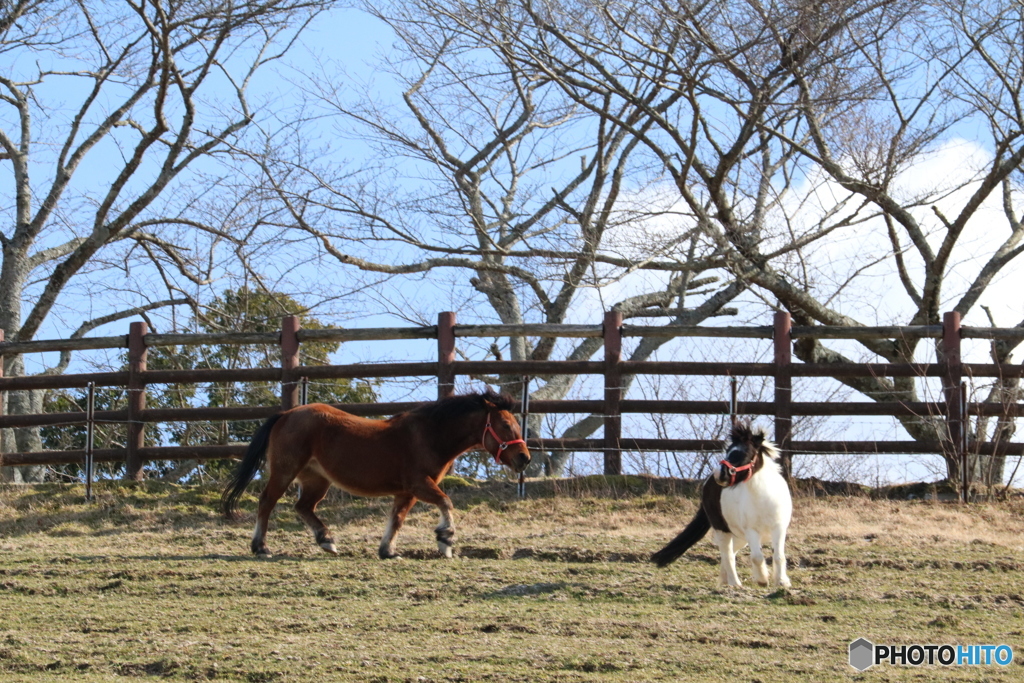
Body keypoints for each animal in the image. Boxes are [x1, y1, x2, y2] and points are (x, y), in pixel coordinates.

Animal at [221, 393, 532, 557]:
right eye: (505, 425)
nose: (524, 458)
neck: (430, 435)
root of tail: (286, 414)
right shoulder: (419, 485)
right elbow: (446, 503)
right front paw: (445, 540)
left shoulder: (406, 492)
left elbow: (397, 519)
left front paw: (388, 550)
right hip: (285, 470)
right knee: (267, 502)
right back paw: (261, 547)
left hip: (316, 479)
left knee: (303, 507)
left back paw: (327, 541)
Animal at [655, 421, 790, 589]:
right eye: (728, 451)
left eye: (744, 453)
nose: (720, 474)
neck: (764, 498)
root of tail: (708, 483)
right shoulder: (751, 531)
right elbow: (757, 557)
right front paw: (762, 580)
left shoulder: (779, 528)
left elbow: (779, 556)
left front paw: (782, 582)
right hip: (723, 530)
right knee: (727, 554)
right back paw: (735, 584)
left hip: (739, 535)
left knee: (731, 552)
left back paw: (726, 580)